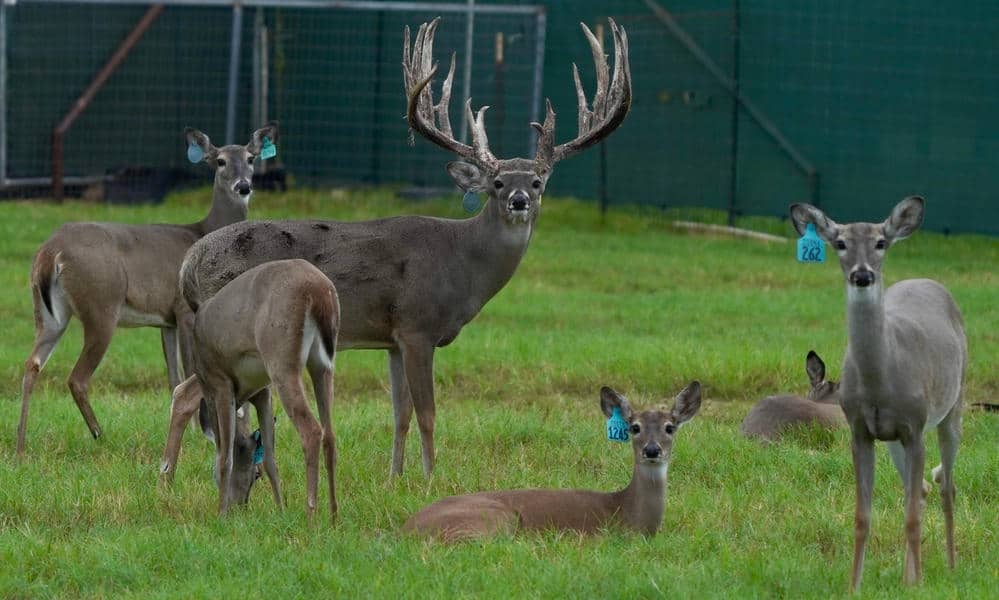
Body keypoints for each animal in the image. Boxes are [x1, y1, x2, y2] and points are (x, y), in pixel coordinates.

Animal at [16, 122, 278, 455]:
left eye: (250, 158)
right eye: (220, 161)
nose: (243, 186)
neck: (205, 232)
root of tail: (51, 252)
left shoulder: (166, 321)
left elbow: (173, 376)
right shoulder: (185, 309)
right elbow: (189, 368)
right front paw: (203, 432)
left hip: (49, 310)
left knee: (32, 363)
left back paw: (20, 443)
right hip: (101, 304)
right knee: (77, 378)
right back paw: (100, 435)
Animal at [159, 259, 339, 520]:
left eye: (255, 476)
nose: (239, 507)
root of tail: (319, 292)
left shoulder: (220, 384)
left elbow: (225, 456)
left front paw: (221, 515)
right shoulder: (263, 392)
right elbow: (271, 457)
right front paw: (281, 510)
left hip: (282, 362)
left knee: (312, 430)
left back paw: (311, 517)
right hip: (322, 365)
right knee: (330, 434)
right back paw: (334, 517)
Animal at [174, 17, 631, 479]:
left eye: (537, 182)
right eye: (499, 183)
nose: (519, 201)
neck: (462, 262)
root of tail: (189, 263)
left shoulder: (392, 338)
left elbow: (401, 414)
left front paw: (395, 478)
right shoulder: (418, 326)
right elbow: (428, 413)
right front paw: (431, 478)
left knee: (186, 391)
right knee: (188, 393)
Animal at [403, 382, 701, 542]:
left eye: (670, 427)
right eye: (635, 427)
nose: (652, 450)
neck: (629, 515)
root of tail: (405, 529)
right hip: (496, 519)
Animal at [789, 197, 966, 591]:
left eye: (881, 243)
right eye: (840, 243)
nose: (862, 275)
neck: (881, 379)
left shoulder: (915, 426)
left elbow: (912, 517)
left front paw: (919, 586)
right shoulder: (860, 431)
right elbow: (862, 516)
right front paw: (853, 586)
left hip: (953, 405)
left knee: (946, 487)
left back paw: (949, 566)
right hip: (894, 439)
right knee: (919, 490)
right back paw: (909, 574)